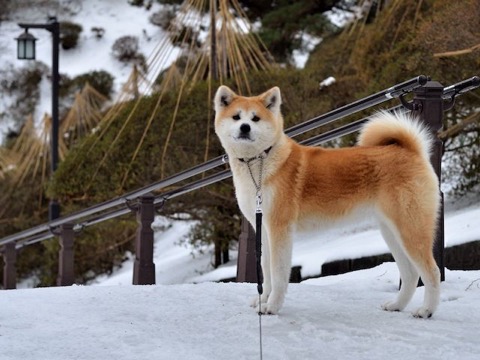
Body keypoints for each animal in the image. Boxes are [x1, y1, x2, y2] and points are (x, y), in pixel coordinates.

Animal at [216, 85, 440, 318]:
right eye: (236, 117)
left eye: (255, 118)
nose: (245, 127)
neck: (260, 164)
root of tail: (410, 150)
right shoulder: (265, 231)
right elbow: (266, 272)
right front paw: (263, 300)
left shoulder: (279, 230)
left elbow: (277, 274)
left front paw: (272, 306)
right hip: (392, 232)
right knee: (411, 274)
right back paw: (397, 305)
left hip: (410, 230)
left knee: (432, 272)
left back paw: (426, 310)